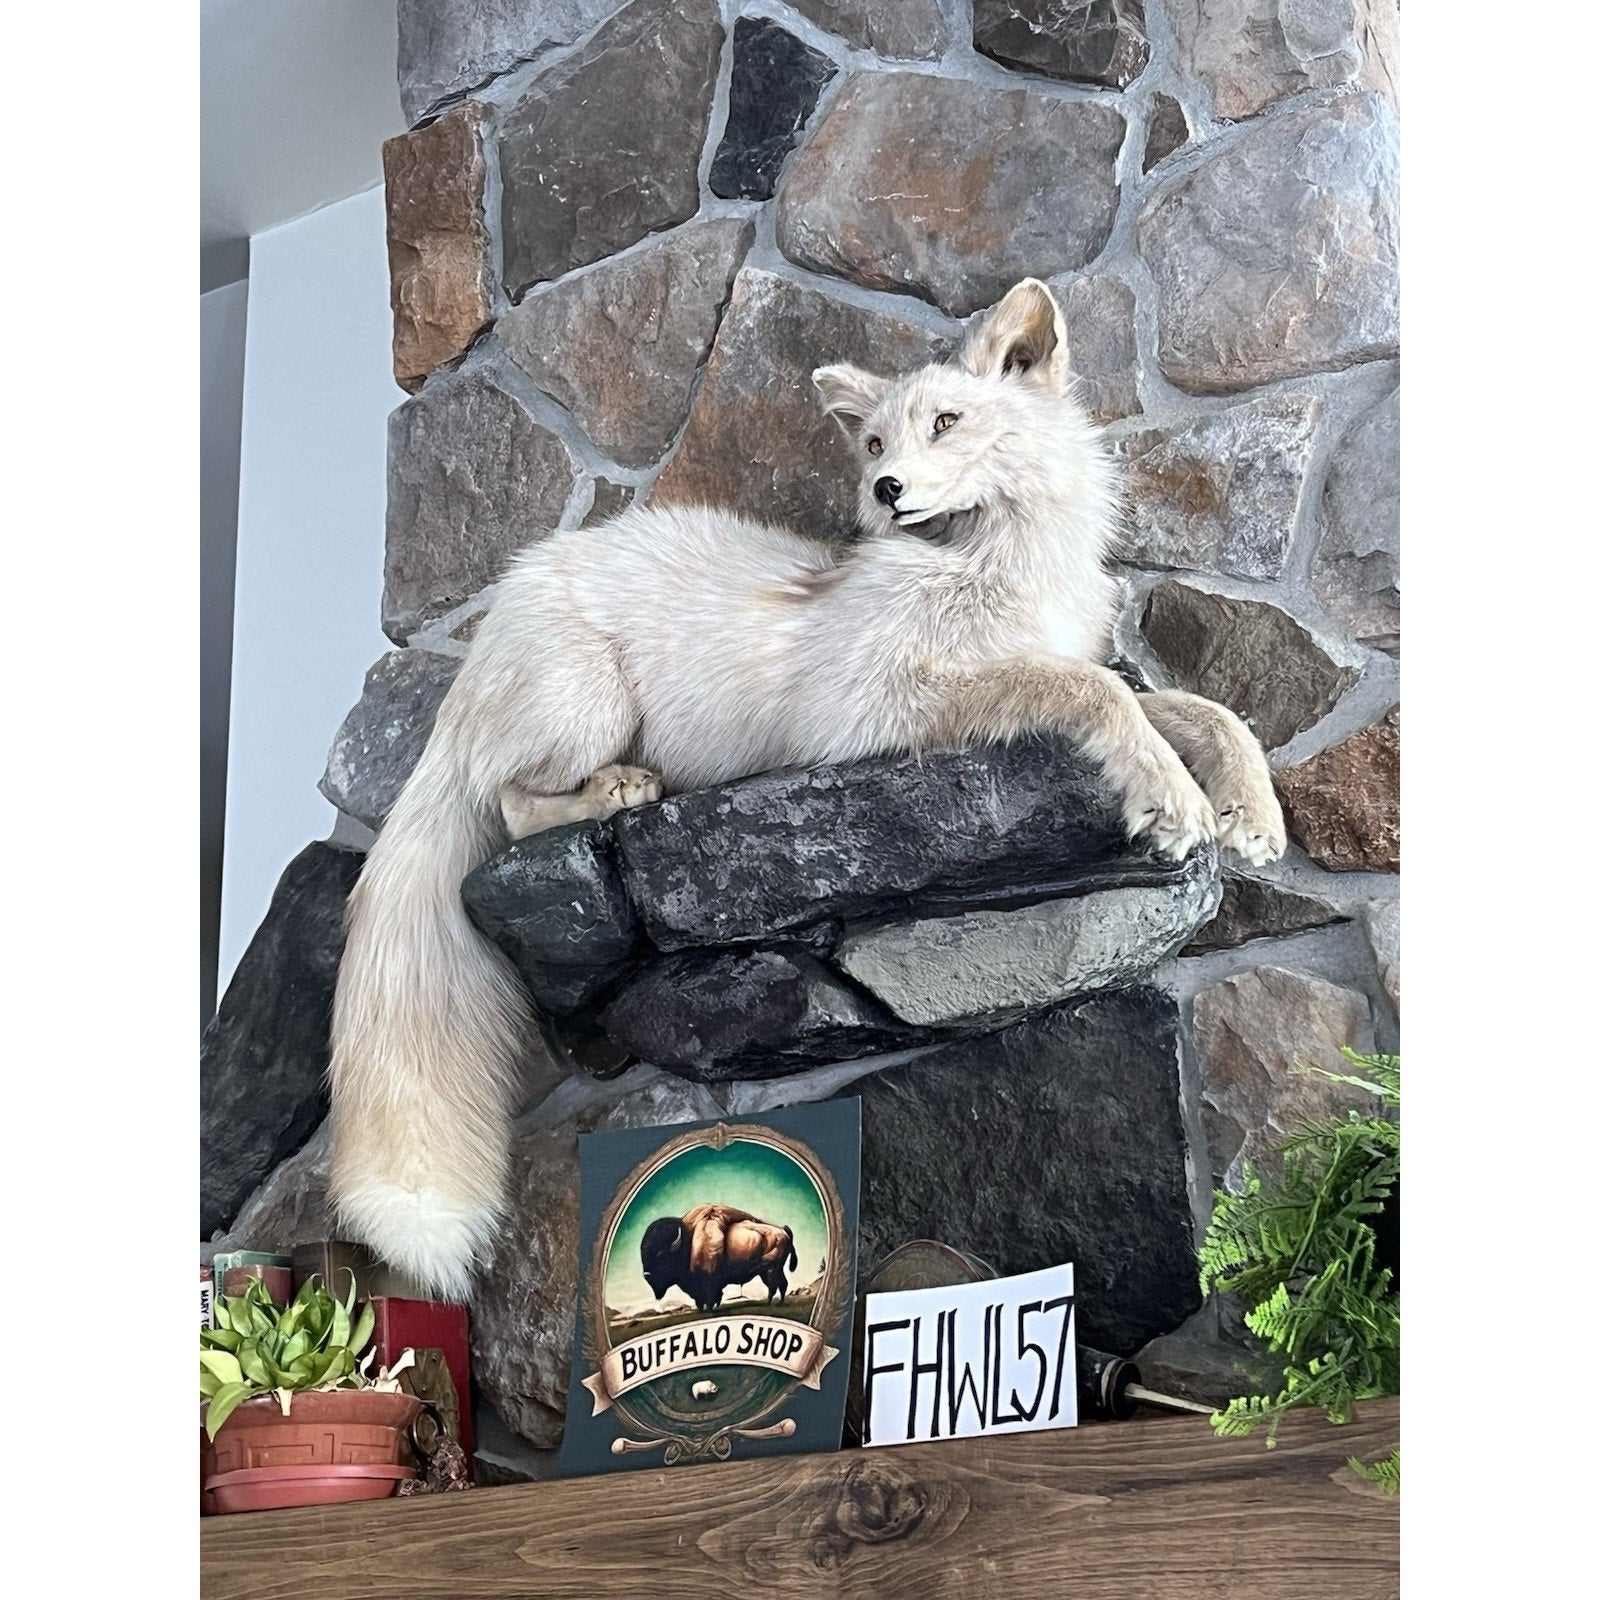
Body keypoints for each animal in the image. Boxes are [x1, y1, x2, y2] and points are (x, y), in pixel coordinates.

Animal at [328, 278, 1286, 1299]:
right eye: (874, 445)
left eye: (946, 422)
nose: (886, 490)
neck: (991, 568)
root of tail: (486, 634)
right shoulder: (874, 709)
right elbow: (1098, 694)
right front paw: (1174, 800)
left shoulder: (1061, 658)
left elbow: (1207, 711)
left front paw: (1251, 810)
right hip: (585, 703)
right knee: (508, 803)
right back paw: (618, 792)